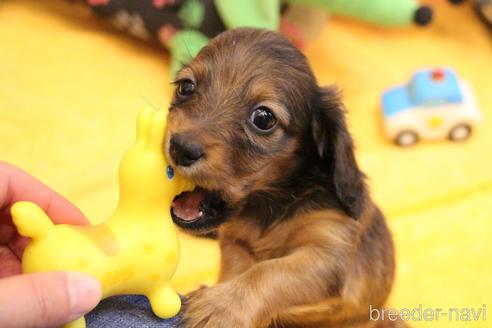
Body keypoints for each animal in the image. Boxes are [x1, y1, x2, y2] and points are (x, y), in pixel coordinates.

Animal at [164, 28, 396, 328]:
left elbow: (270, 271)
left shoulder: (328, 251)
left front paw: (222, 306)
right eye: (186, 87)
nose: (180, 148)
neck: (272, 202)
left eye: (263, 118)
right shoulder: (235, 242)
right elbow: (243, 266)